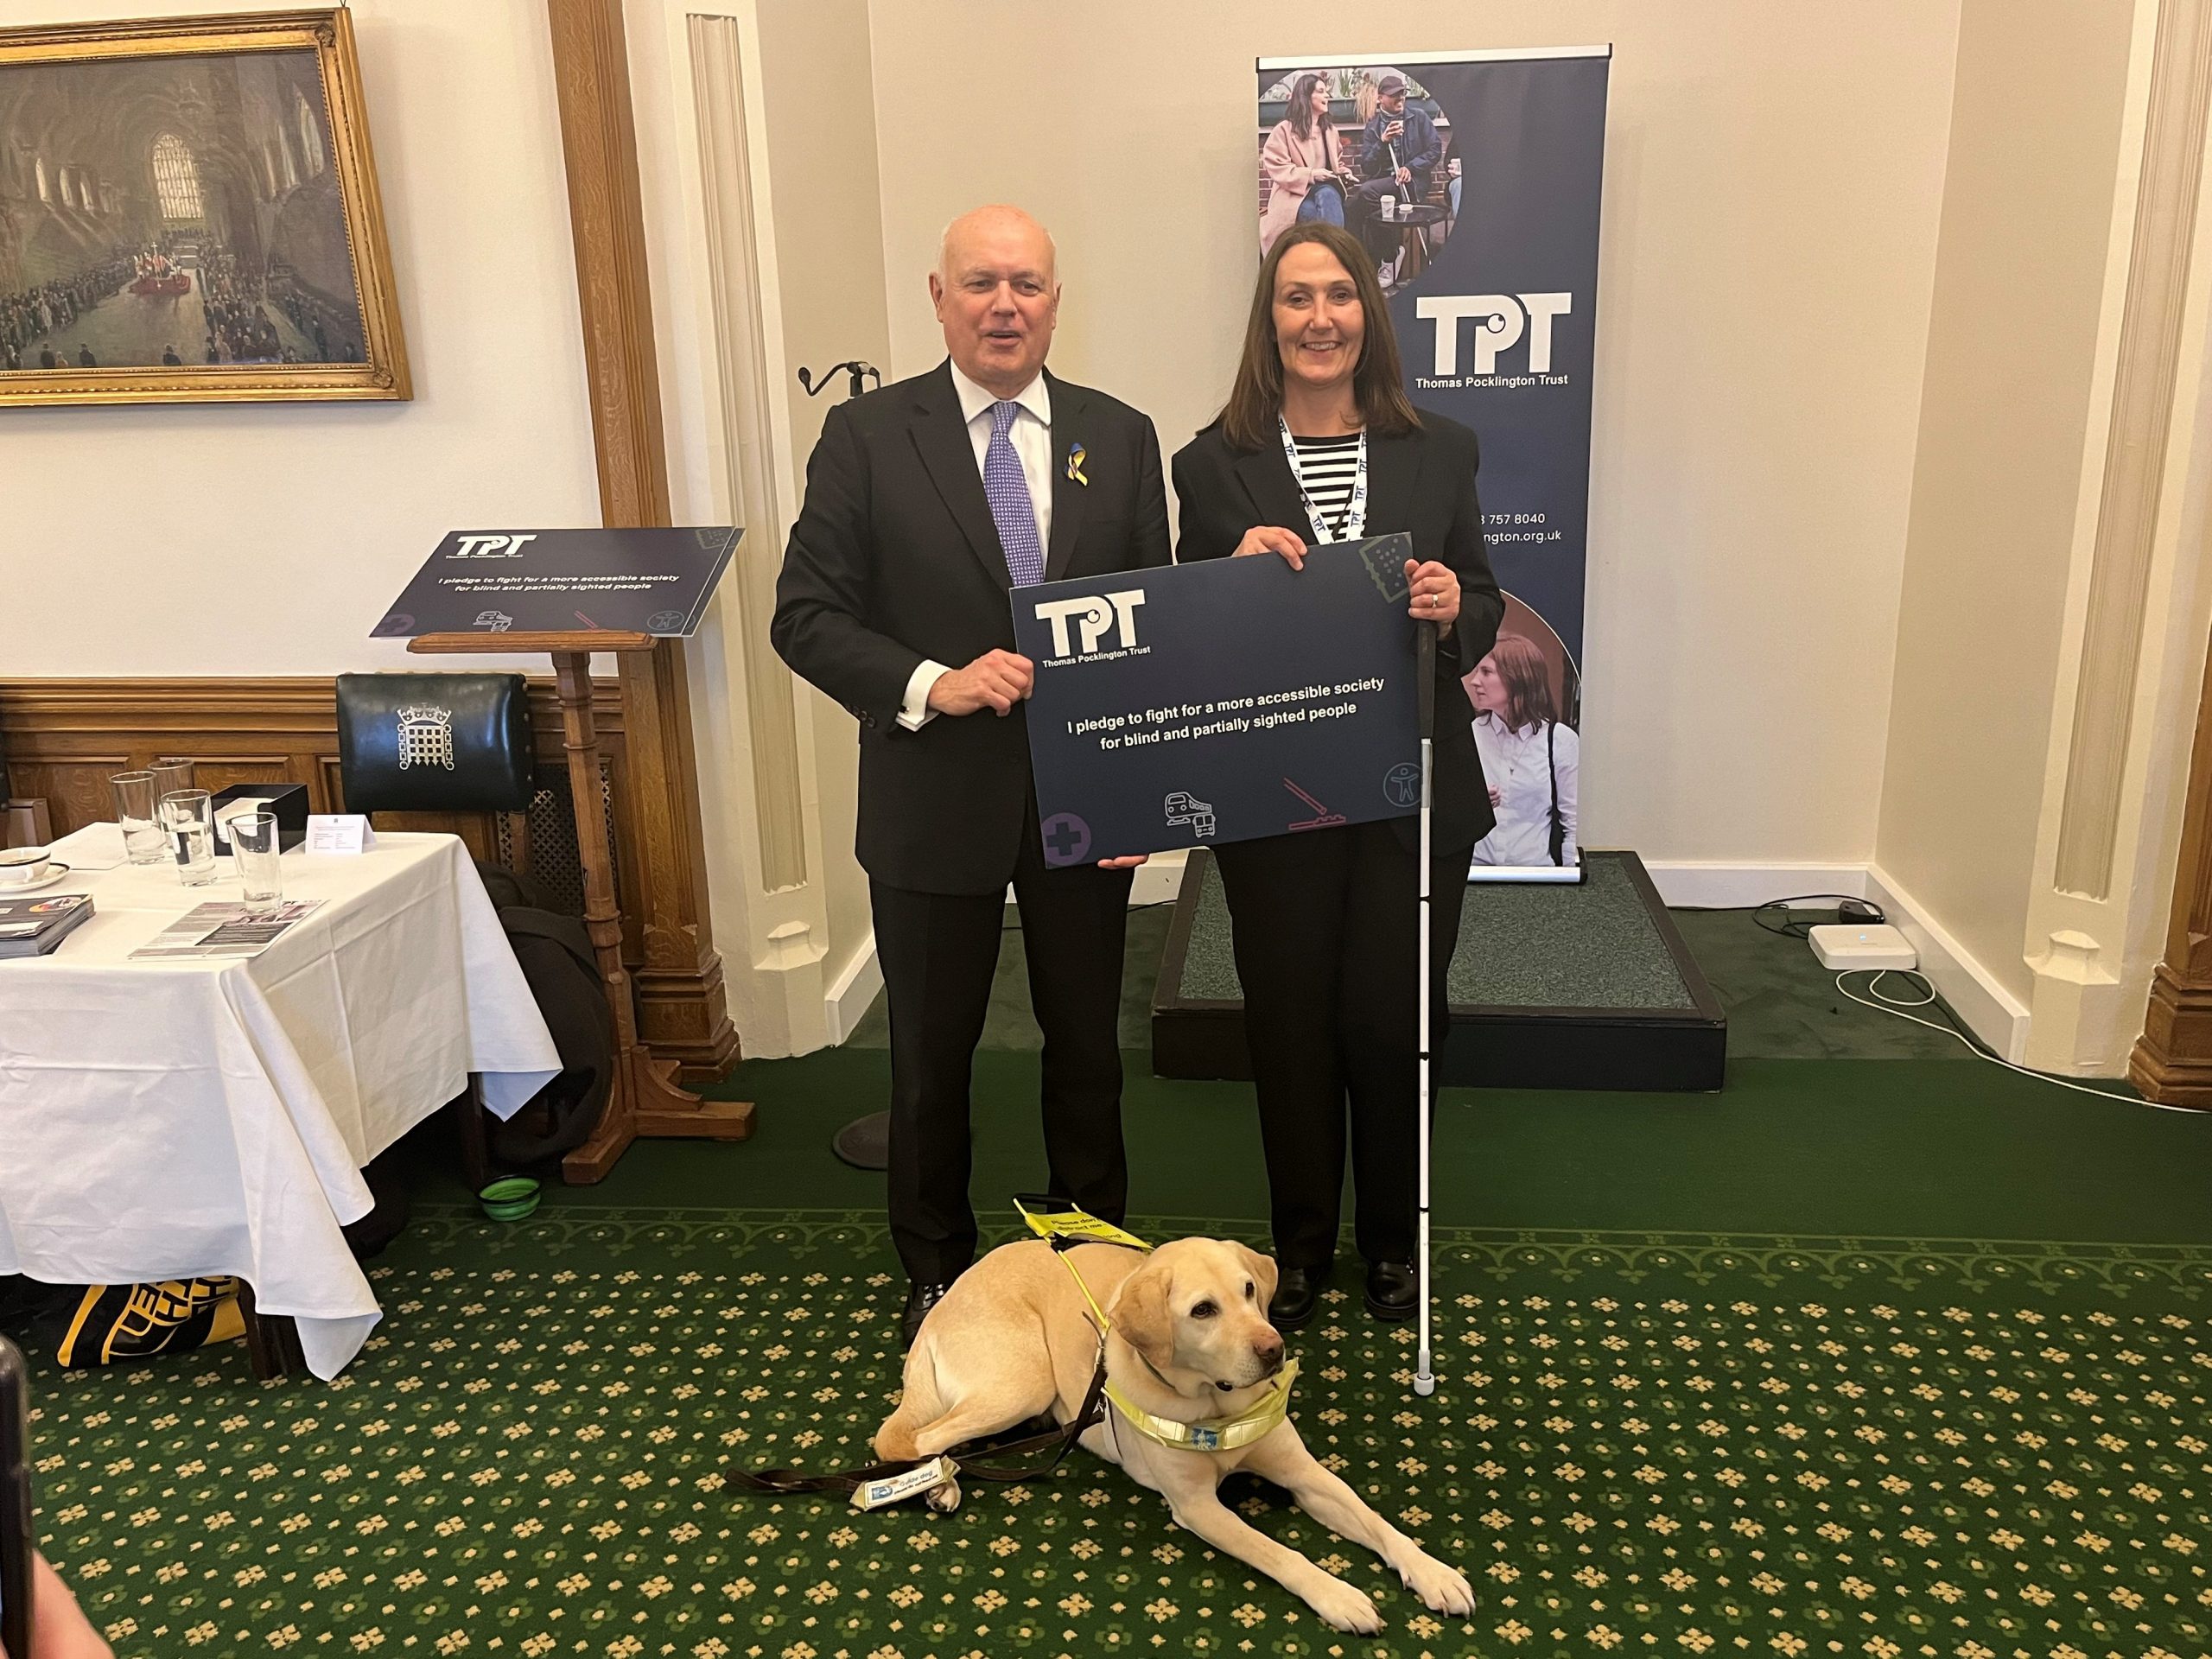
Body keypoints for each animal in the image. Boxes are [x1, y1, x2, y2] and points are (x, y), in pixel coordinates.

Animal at [871, 1211, 1478, 1637]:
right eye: (1203, 1311)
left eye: (1250, 1290)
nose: (1274, 1350)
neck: (1219, 1406)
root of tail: (947, 1295)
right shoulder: (1198, 1506)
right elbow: (1279, 1553)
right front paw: (1339, 1595)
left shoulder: (1306, 1475)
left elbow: (1377, 1522)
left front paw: (1433, 1572)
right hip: (1023, 1381)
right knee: (910, 1436)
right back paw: (940, 1485)